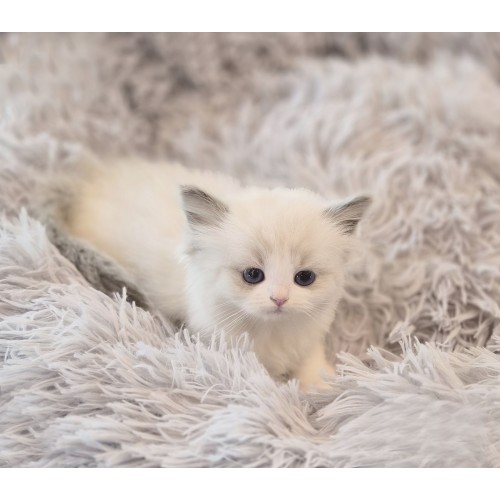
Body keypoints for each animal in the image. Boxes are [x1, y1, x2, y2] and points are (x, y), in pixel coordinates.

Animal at [64, 157, 371, 390]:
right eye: (252, 275)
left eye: (304, 278)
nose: (279, 299)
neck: (269, 331)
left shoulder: (308, 337)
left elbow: (311, 365)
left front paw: (323, 388)